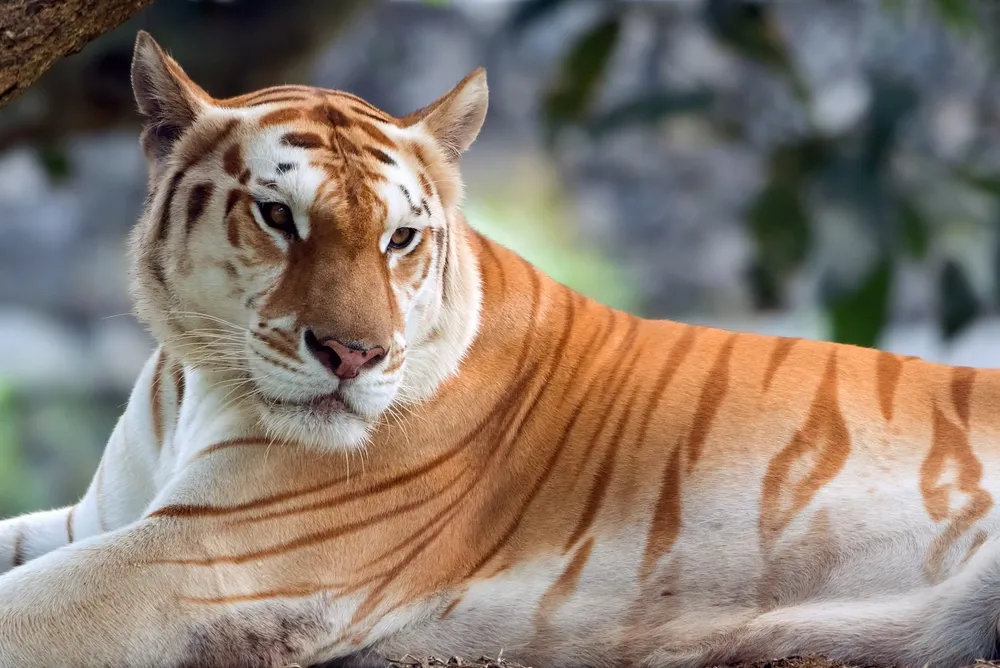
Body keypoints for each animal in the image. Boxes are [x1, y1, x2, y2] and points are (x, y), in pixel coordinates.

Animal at [2, 29, 1000, 668]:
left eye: (400, 238)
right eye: (279, 217)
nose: (355, 356)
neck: (197, 379)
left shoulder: (205, 558)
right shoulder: (101, 522)